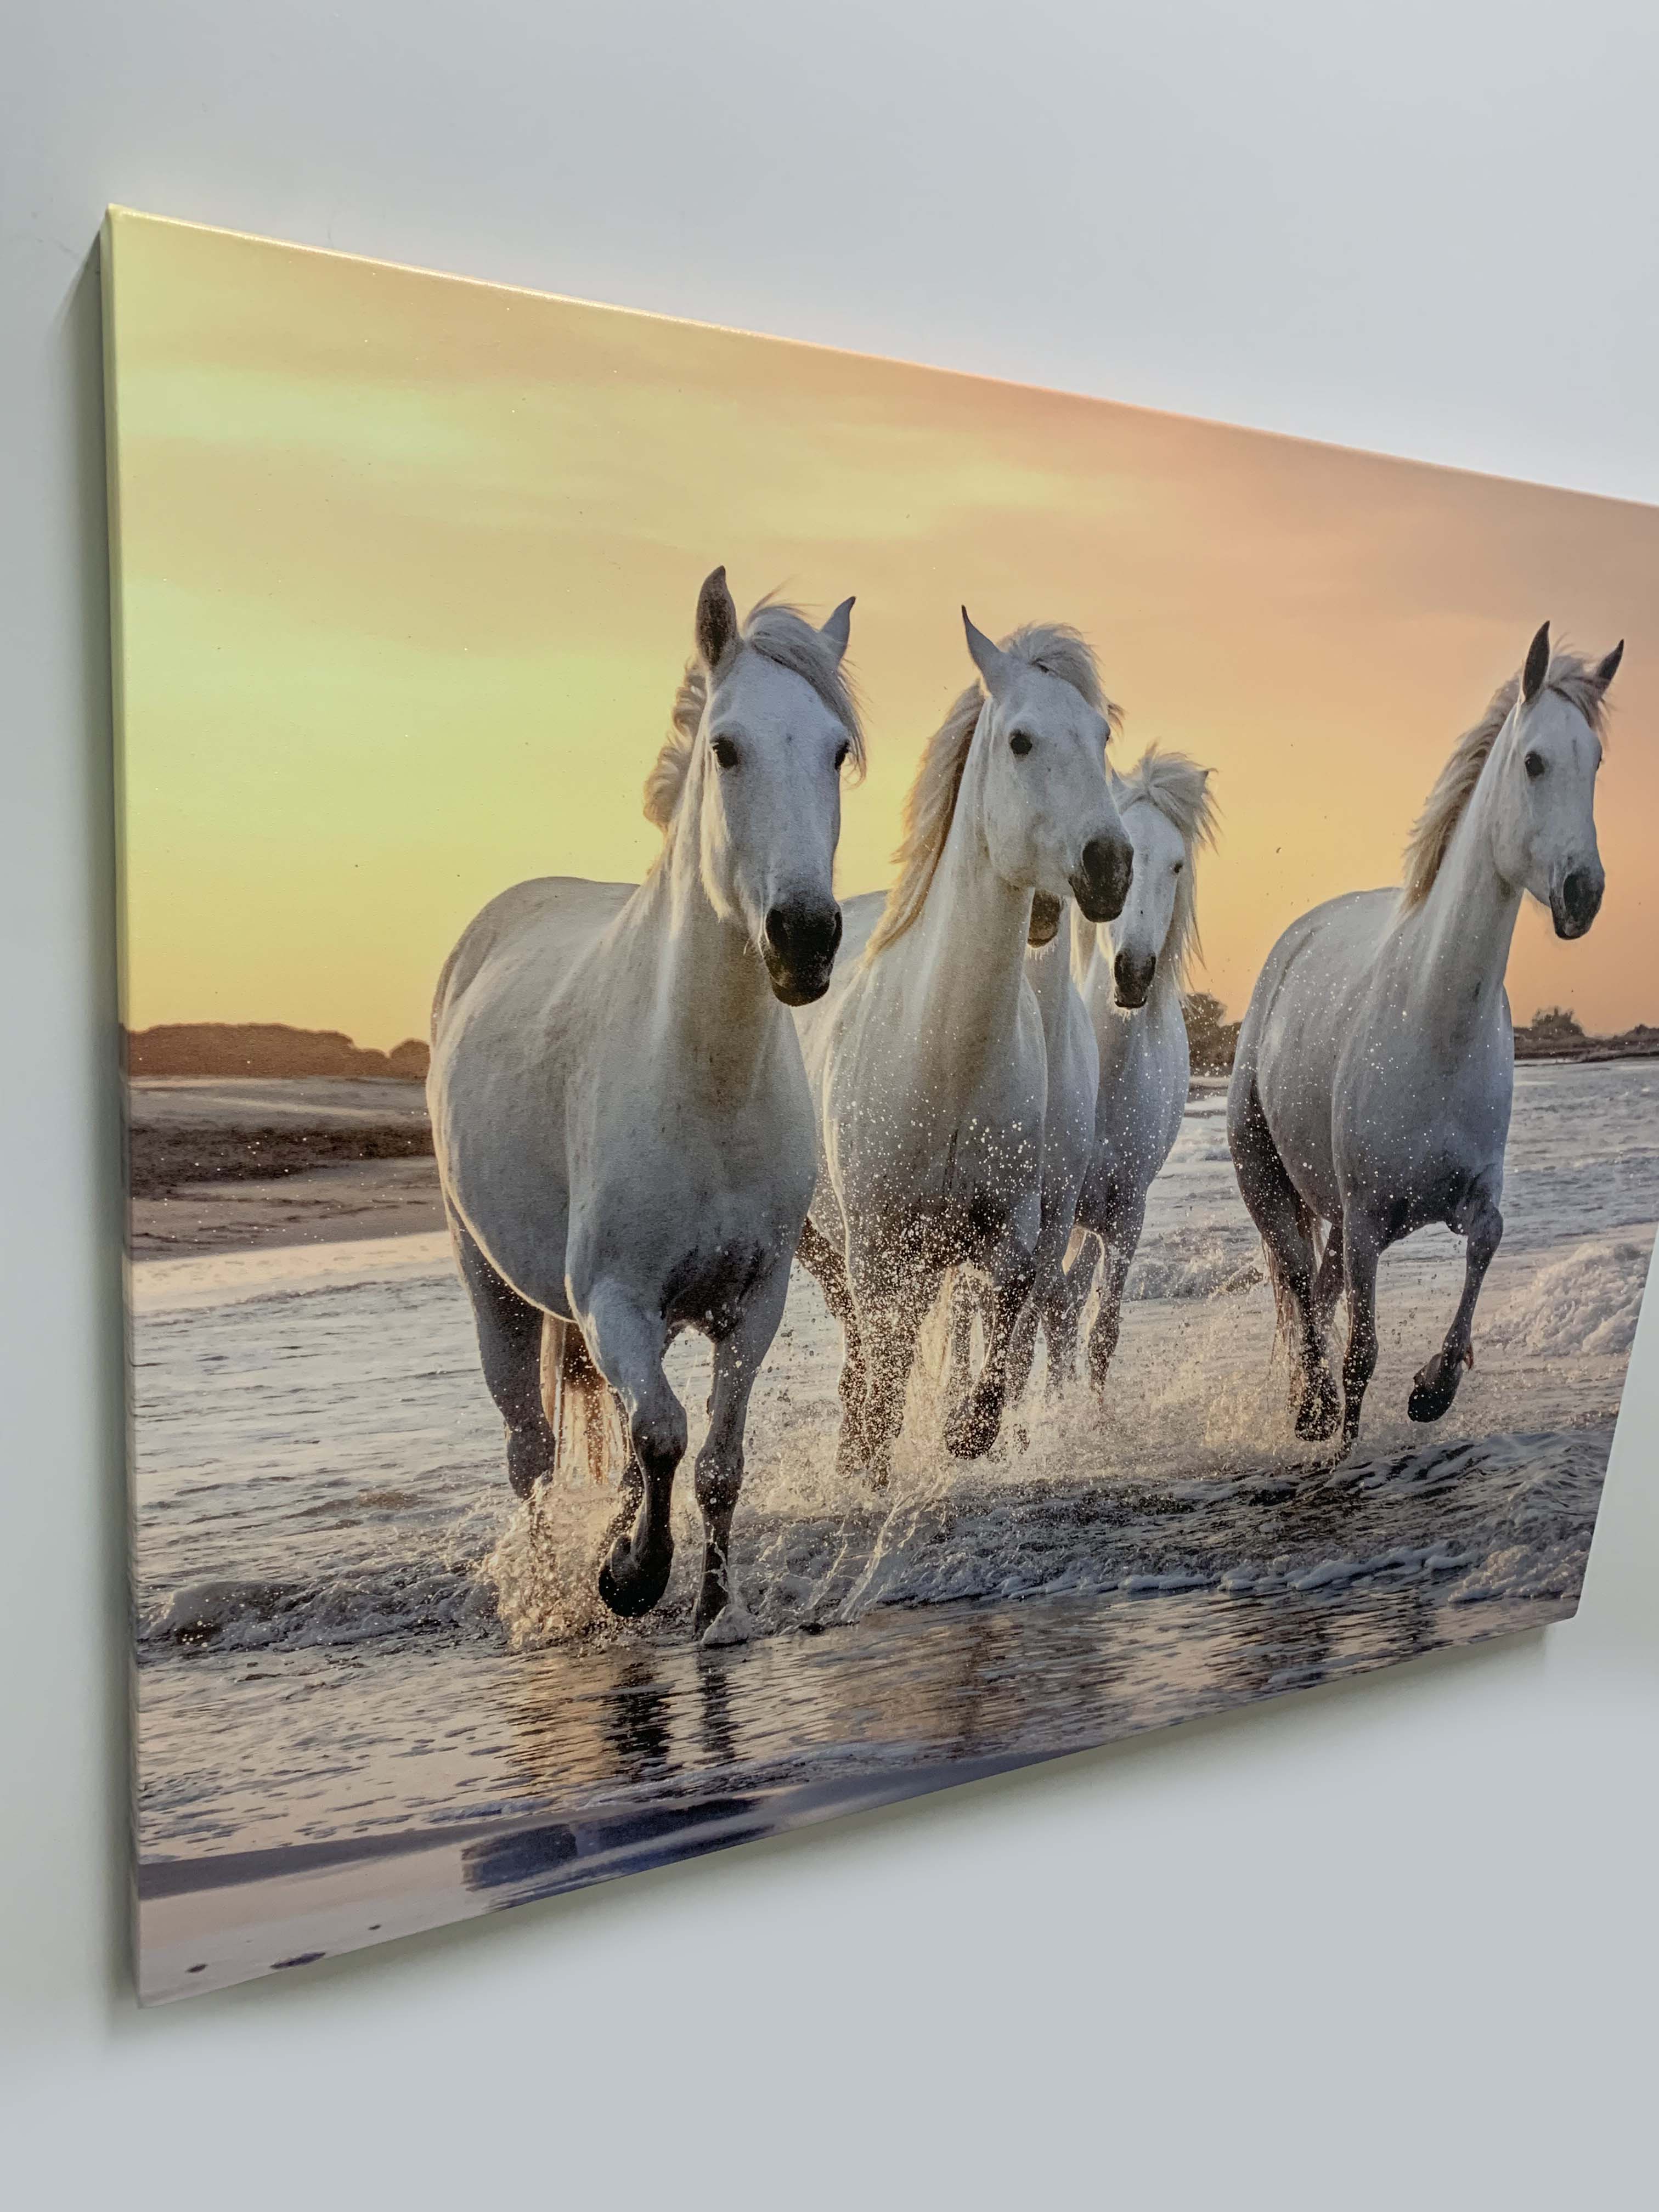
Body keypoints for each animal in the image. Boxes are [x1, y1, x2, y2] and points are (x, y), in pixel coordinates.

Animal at [428, 569, 864, 1638]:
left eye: (836, 751)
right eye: (726, 746)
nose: (804, 937)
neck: (701, 1083)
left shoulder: (752, 1301)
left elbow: (714, 1462)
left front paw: (708, 1608)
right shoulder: (613, 1299)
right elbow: (663, 1434)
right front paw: (630, 1577)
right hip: (494, 1289)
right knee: (532, 1456)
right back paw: (553, 1594)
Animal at [794, 613, 1133, 1487]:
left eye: (1101, 736)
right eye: (1020, 740)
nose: (1111, 866)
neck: (943, 1056)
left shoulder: (1010, 1229)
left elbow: (1002, 1336)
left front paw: (967, 1436)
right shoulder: (876, 1249)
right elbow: (885, 1379)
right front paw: (875, 1466)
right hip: (826, 1246)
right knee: (865, 1353)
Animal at [1228, 623, 1621, 1456]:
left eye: (1596, 762)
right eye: (1534, 761)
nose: (1584, 894)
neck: (1434, 1024)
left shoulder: (1467, 1194)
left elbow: (1489, 1239)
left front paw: (1433, 1389)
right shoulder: (1368, 1221)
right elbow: (1361, 1357)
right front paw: (1345, 1438)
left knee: (1315, 1291)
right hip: (1269, 1182)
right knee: (1298, 1287)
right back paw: (1308, 1409)